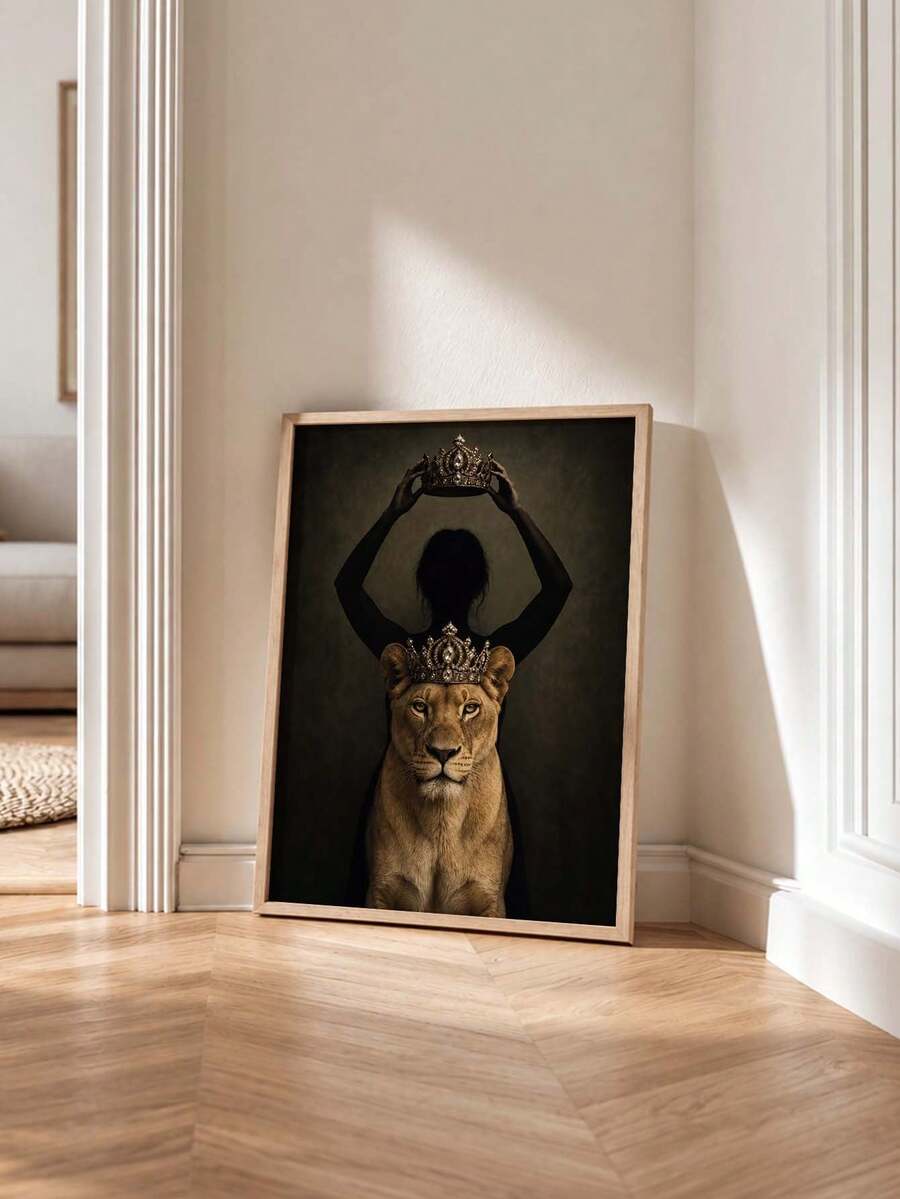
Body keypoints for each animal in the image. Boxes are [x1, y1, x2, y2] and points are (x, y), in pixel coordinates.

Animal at [366, 642, 516, 918]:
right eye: (420, 707)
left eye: (470, 708)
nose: (443, 752)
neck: (442, 820)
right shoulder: (381, 893)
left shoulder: (490, 901)